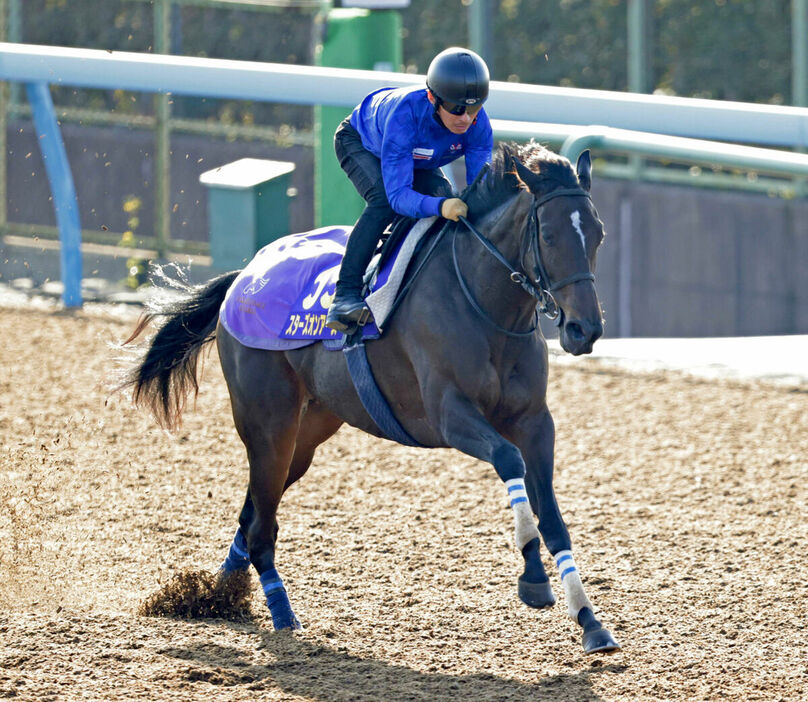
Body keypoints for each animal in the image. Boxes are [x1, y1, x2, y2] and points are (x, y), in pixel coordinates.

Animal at [123, 142, 620, 656]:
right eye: (551, 235)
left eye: (598, 233)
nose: (584, 330)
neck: (485, 306)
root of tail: (247, 275)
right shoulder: (450, 415)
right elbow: (508, 460)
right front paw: (534, 578)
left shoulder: (535, 422)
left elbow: (554, 518)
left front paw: (589, 621)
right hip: (267, 424)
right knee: (262, 525)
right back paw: (280, 614)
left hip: (306, 433)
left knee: (253, 510)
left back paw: (219, 594)